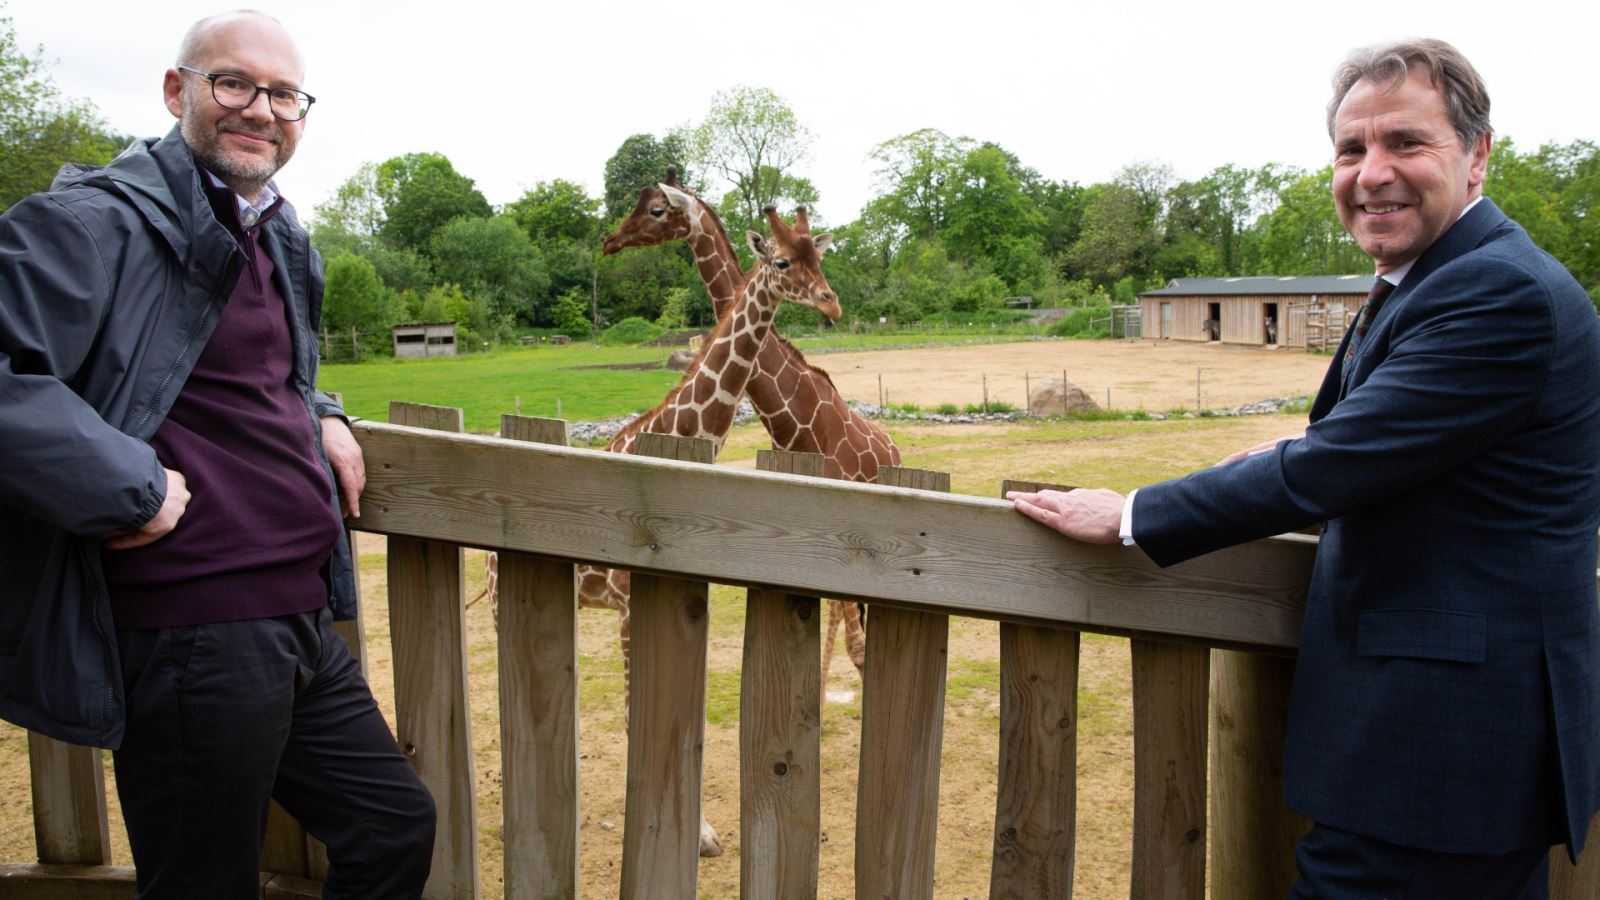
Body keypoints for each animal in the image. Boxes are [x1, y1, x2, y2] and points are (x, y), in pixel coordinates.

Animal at [601, 171, 902, 682]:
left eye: (657, 210)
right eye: (644, 205)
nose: (610, 240)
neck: (795, 420)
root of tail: (894, 449)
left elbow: (854, 645)